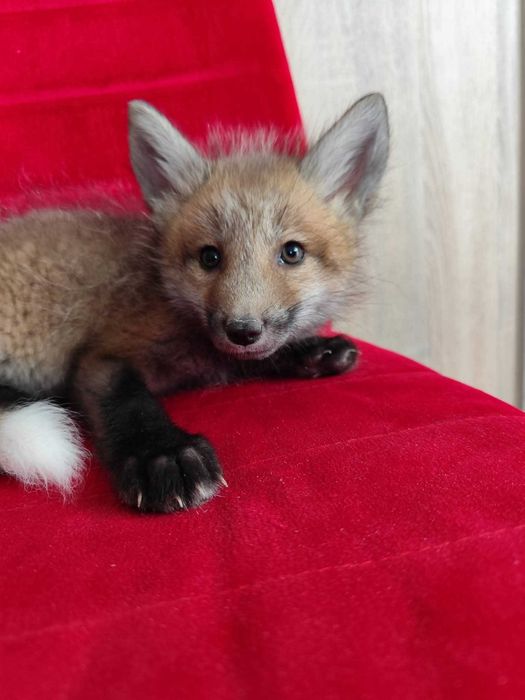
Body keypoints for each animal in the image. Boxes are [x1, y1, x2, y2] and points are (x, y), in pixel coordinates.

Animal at [0, 93, 389, 513]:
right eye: (209, 257)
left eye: (292, 252)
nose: (242, 330)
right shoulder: (103, 355)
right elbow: (130, 401)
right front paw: (163, 454)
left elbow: (252, 357)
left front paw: (313, 350)